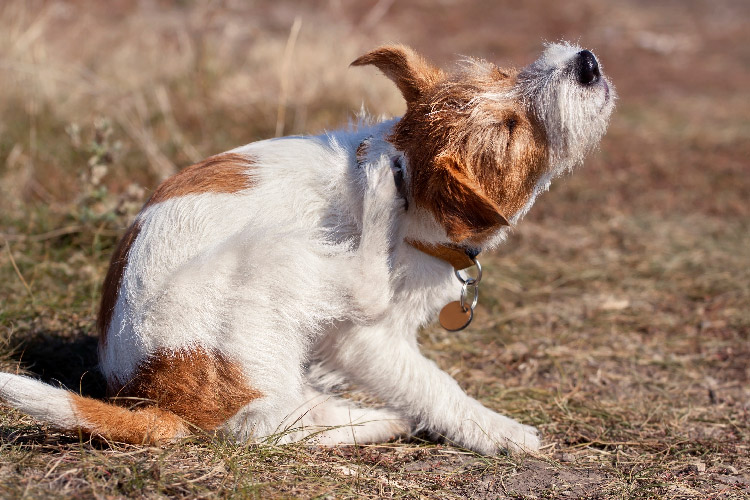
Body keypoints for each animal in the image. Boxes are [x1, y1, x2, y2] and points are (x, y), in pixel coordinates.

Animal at [0, 43, 616, 456]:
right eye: (511, 128)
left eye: (503, 73)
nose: (586, 62)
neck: (415, 192)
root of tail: (155, 399)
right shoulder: (367, 340)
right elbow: (433, 384)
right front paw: (500, 431)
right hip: (271, 256)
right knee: (269, 421)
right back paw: (376, 190)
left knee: (293, 417)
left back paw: (377, 418)